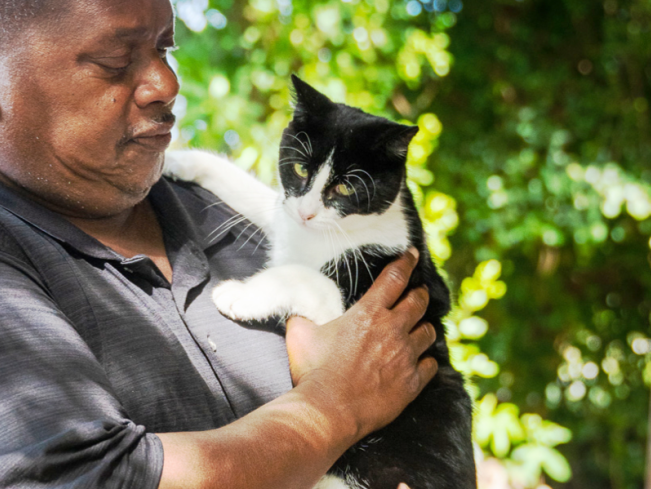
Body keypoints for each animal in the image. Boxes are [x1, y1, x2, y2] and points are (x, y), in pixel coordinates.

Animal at [166, 75, 476, 488]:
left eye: (345, 188)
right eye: (300, 168)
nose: (307, 213)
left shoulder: (357, 298)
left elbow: (304, 276)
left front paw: (237, 294)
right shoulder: (285, 217)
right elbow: (252, 191)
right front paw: (174, 162)